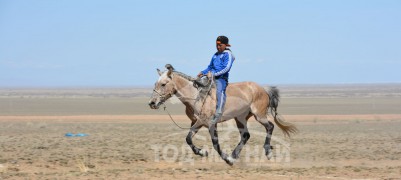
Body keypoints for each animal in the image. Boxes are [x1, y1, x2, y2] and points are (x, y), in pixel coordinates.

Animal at [148, 64, 296, 166]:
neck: (197, 96)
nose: (152, 103)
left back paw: (267, 152)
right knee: (246, 135)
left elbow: (215, 143)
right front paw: (203, 152)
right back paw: (235, 155)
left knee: (270, 126)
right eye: (155, 83)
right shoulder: (197, 122)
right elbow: (188, 139)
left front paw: (227, 159)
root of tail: (262, 88)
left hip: (258, 115)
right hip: (240, 118)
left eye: (163, 84)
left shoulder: (211, 124)